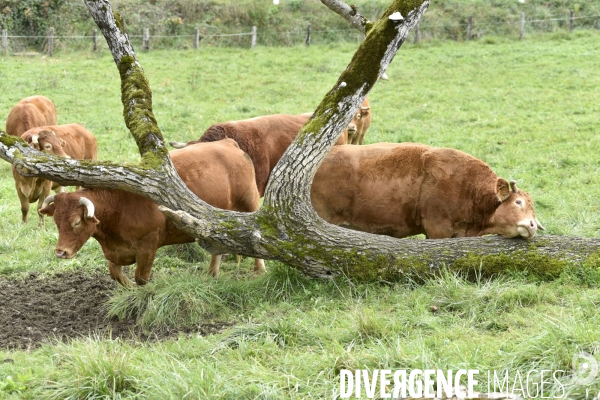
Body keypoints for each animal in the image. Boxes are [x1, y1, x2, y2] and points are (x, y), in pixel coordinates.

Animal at [37, 139, 262, 286]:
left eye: (76, 222)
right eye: (56, 221)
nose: (60, 252)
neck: (118, 203)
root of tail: (227, 143)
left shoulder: (148, 245)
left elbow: (141, 278)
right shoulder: (115, 251)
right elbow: (115, 274)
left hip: (250, 203)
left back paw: (259, 269)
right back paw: (212, 275)